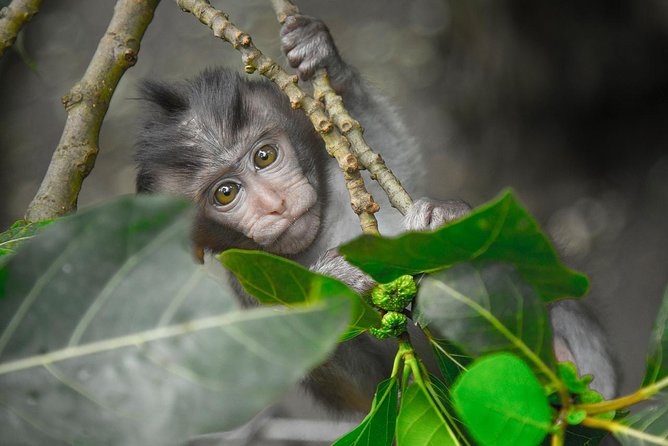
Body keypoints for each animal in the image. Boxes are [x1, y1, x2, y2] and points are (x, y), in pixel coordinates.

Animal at [134, 14, 617, 414]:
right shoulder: (247, 291)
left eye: (265, 156)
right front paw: (334, 282)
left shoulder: (339, 177)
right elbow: (364, 391)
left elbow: (384, 150)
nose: (275, 204)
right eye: (225, 194)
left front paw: (322, 53)